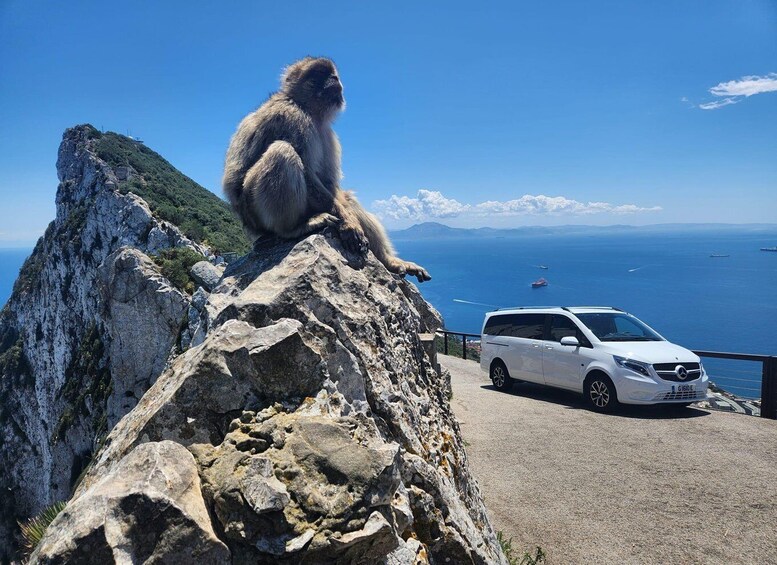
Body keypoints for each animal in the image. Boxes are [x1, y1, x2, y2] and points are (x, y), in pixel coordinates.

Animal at [222, 56, 431, 282]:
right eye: (320, 73)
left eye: (333, 74)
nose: (335, 79)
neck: (308, 109)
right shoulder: (291, 118)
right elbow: (308, 173)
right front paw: (349, 225)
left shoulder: (328, 134)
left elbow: (330, 184)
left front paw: (351, 222)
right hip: (254, 214)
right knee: (282, 151)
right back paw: (292, 229)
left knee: (347, 198)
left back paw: (390, 261)